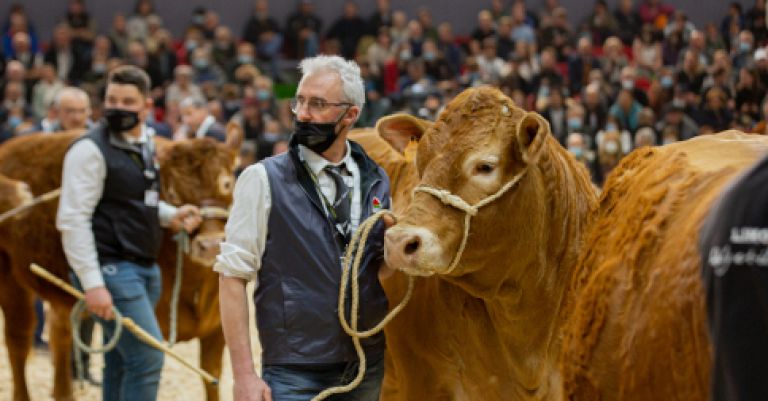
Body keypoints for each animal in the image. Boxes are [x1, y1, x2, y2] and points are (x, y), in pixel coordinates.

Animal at [0, 126, 240, 400]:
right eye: (173, 193)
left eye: (227, 182)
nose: (210, 244)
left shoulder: (217, 330)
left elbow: (212, 376)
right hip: (9, 278)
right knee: (18, 339)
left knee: (60, 334)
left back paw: (63, 392)